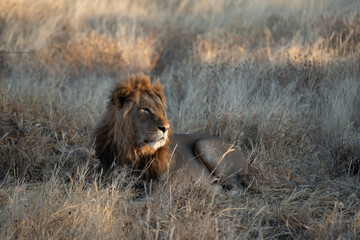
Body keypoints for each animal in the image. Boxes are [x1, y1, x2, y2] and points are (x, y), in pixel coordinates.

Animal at [91, 74, 248, 188]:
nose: (166, 128)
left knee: (237, 188)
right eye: (145, 109)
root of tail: (239, 149)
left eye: (162, 110)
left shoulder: (161, 189)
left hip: (204, 146)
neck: (132, 150)